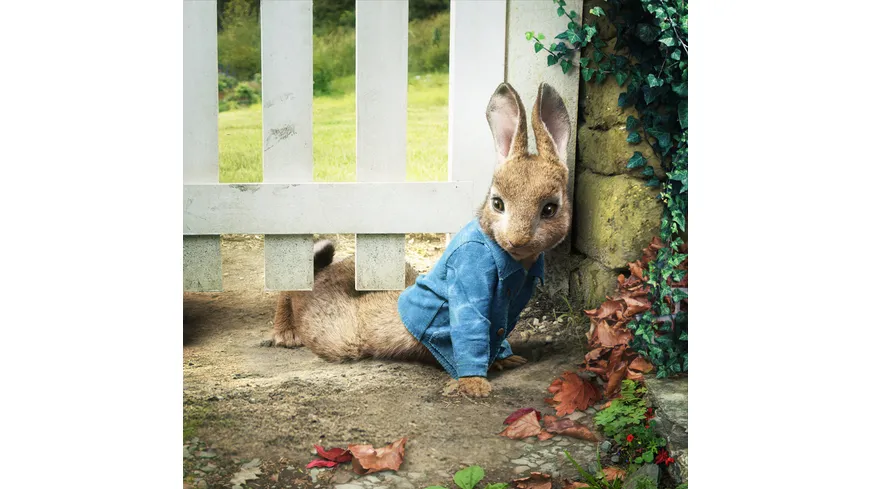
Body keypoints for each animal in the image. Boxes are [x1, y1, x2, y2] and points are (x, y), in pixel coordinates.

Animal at [270, 81, 572, 398]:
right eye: (498, 203)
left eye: (550, 209)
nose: (517, 239)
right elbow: (471, 331)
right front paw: (474, 385)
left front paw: (507, 359)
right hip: (336, 332)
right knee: (296, 290)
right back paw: (286, 333)